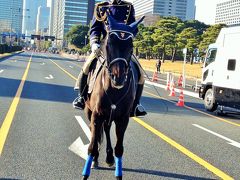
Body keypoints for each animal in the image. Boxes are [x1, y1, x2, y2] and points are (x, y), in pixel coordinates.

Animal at [81, 15, 143, 180]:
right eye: (109, 44)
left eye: (131, 46)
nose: (118, 77)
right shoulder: (96, 115)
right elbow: (92, 145)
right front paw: (87, 171)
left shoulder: (123, 118)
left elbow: (119, 148)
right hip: (90, 112)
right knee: (95, 133)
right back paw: (96, 159)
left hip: (110, 115)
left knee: (107, 130)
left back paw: (109, 158)